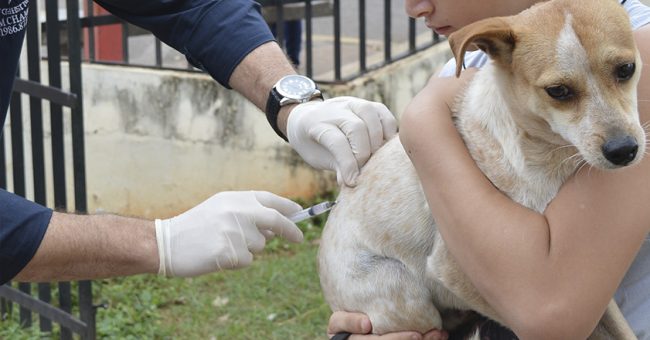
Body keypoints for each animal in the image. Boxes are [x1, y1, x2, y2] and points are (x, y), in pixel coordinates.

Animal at [318, 0, 644, 338]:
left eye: (626, 69)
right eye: (558, 91)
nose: (624, 150)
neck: (545, 154)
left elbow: (620, 328)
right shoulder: (457, 273)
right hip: (404, 294)